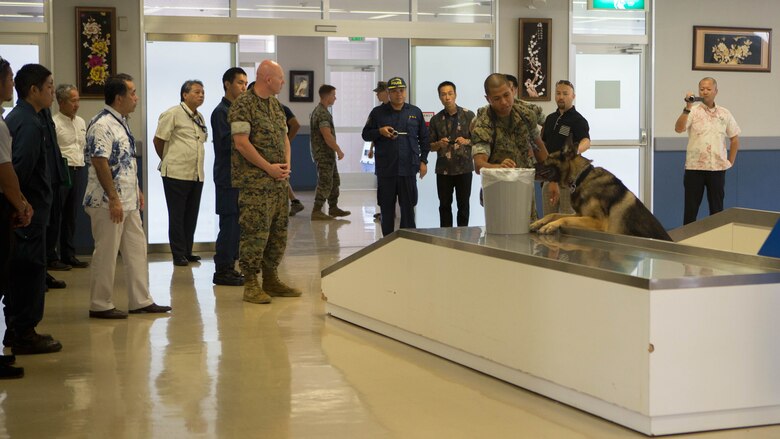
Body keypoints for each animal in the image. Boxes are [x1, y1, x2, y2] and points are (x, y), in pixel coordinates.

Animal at [532, 149, 672, 242]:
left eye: (548, 157)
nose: (531, 164)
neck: (581, 178)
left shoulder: (597, 222)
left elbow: (564, 218)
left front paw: (550, 225)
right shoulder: (579, 215)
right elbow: (553, 214)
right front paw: (539, 222)